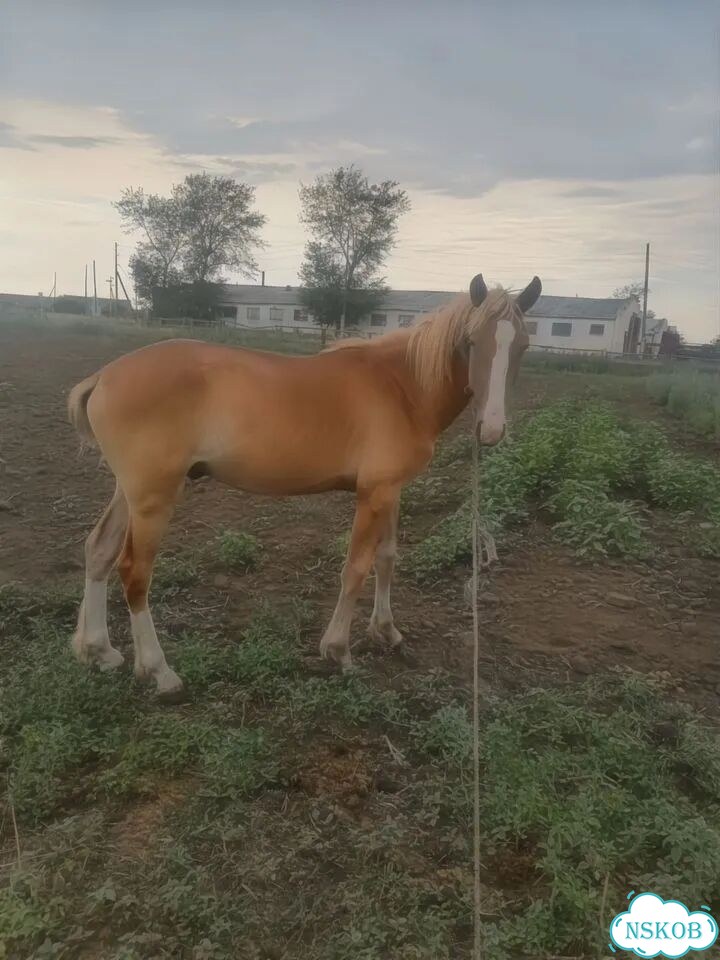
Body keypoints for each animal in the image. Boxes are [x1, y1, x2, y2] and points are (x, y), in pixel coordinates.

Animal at [67, 272, 540, 698]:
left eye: (522, 346)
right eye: (472, 342)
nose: (490, 430)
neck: (401, 387)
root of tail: (103, 376)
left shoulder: (391, 490)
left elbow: (387, 558)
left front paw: (387, 631)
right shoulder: (373, 495)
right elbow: (356, 566)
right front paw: (339, 651)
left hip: (130, 493)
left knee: (99, 550)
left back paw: (99, 651)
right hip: (154, 498)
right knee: (135, 572)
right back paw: (160, 672)